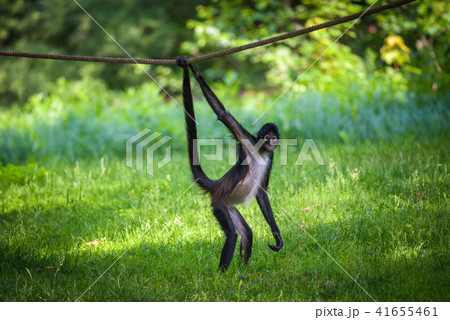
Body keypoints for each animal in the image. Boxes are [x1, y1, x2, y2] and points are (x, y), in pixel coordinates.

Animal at [175, 57, 282, 270]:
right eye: (266, 137)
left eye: (274, 138)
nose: (271, 142)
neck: (261, 151)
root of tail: (217, 185)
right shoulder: (246, 139)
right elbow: (222, 114)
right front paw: (195, 71)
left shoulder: (271, 156)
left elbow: (261, 191)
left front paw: (277, 237)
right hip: (219, 203)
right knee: (232, 235)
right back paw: (222, 275)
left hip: (229, 205)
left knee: (246, 233)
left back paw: (244, 272)